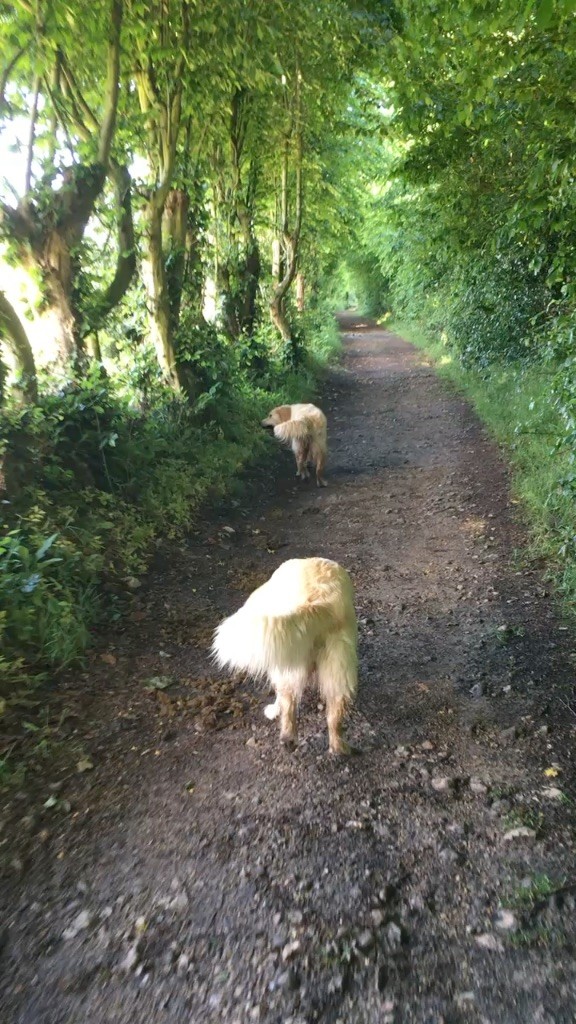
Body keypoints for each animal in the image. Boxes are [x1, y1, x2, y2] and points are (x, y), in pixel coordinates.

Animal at [211, 557, 354, 757]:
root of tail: (319, 603)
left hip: (288, 667)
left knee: (287, 702)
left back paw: (285, 732)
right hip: (337, 671)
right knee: (334, 715)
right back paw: (337, 748)